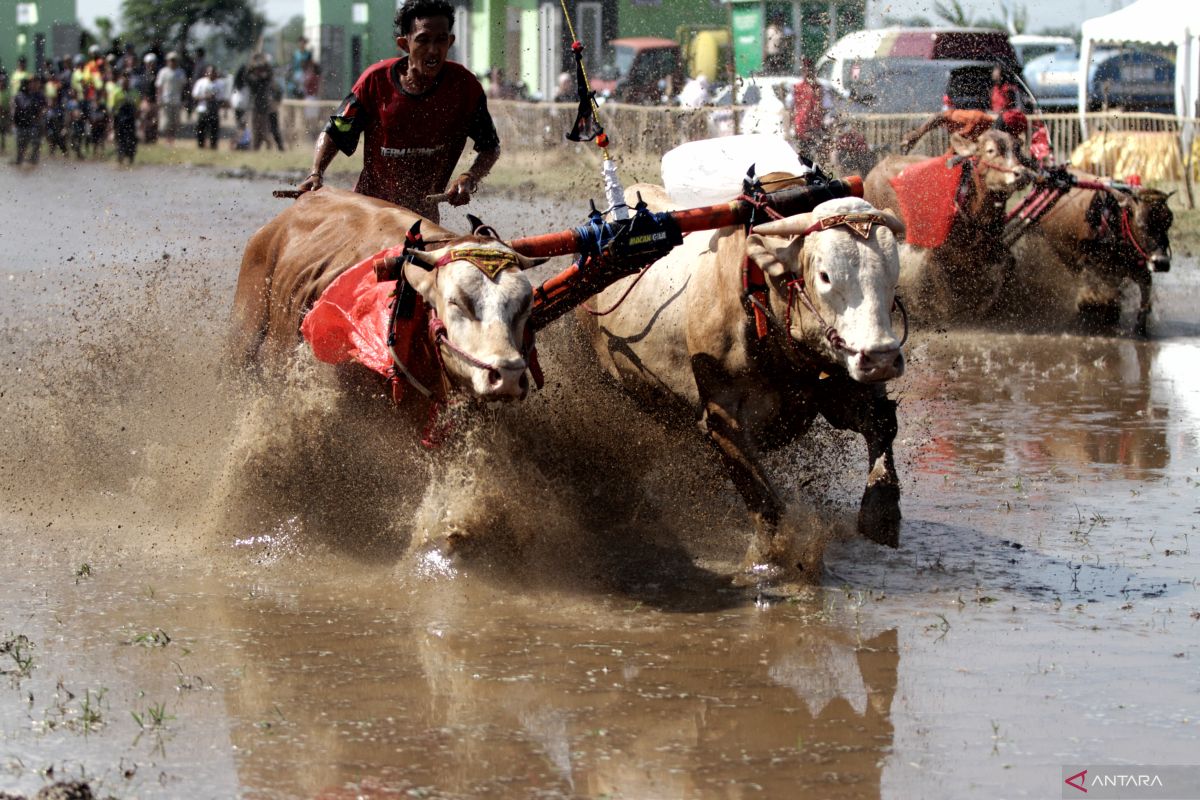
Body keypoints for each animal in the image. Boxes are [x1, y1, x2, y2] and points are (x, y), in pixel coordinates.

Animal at [583, 190, 907, 573]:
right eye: (825, 276)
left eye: (893, 270)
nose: (881, 357)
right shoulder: (722, 419)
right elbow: (767, 504)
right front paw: (769, 560)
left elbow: (881, 424)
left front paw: (881, 515)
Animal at [868, 128, 1027, 321]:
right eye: (991, 150)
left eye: (1018, 149)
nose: (1021, 174)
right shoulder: (934, 255)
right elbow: (946, 298)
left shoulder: (987, 246)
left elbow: (1008, 262)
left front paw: (985, 306)